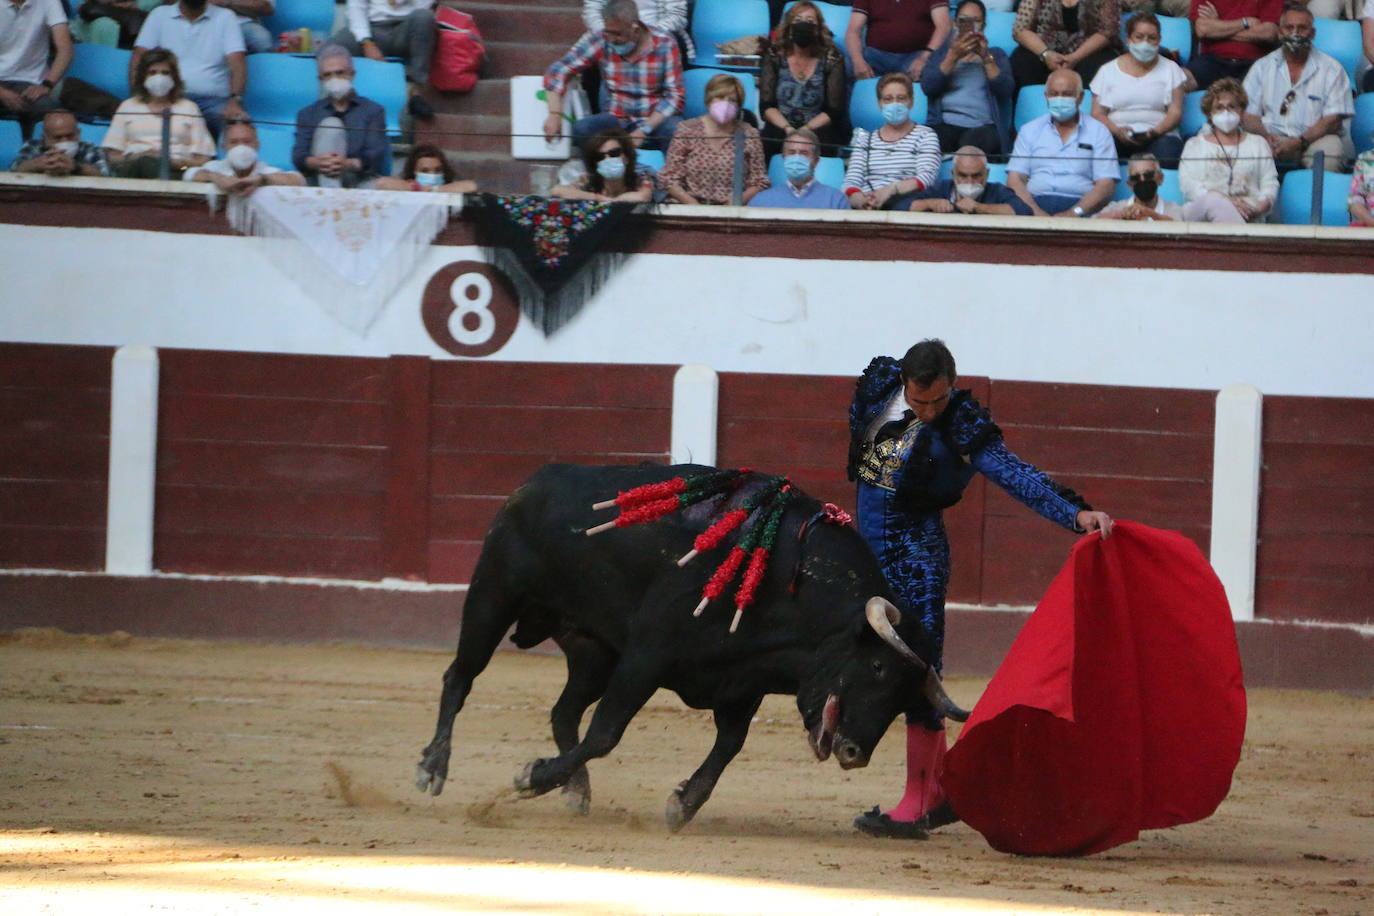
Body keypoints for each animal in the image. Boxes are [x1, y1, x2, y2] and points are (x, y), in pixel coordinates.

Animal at [414, 466, 967, 829]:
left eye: (905, 697)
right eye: (877, 667)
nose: (855, 754)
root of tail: (529, 484)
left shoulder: (741, 681)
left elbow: (729, 744)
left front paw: (683, 804)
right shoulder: (645, 658)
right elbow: (606, 733)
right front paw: (530, 777)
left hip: (593, 651)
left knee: (563, 711)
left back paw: (576, 790)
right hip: (493, 596)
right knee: (460, 676)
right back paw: (432, 768)